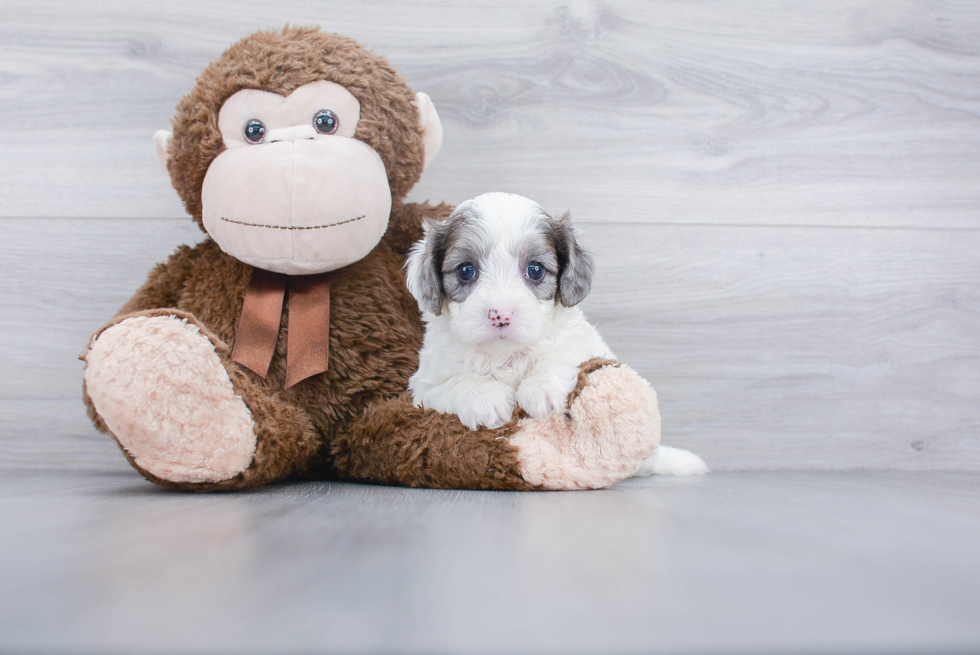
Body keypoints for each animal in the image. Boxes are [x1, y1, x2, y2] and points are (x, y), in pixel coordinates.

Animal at [404, 193, 704, 476]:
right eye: (466, 270)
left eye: (535, 269)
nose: (501, 315)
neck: (505, 354)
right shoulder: (424, 387)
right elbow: (454, 382)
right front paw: (483, 397)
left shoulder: (582, 344)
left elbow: (561, 356)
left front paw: (541, 388)